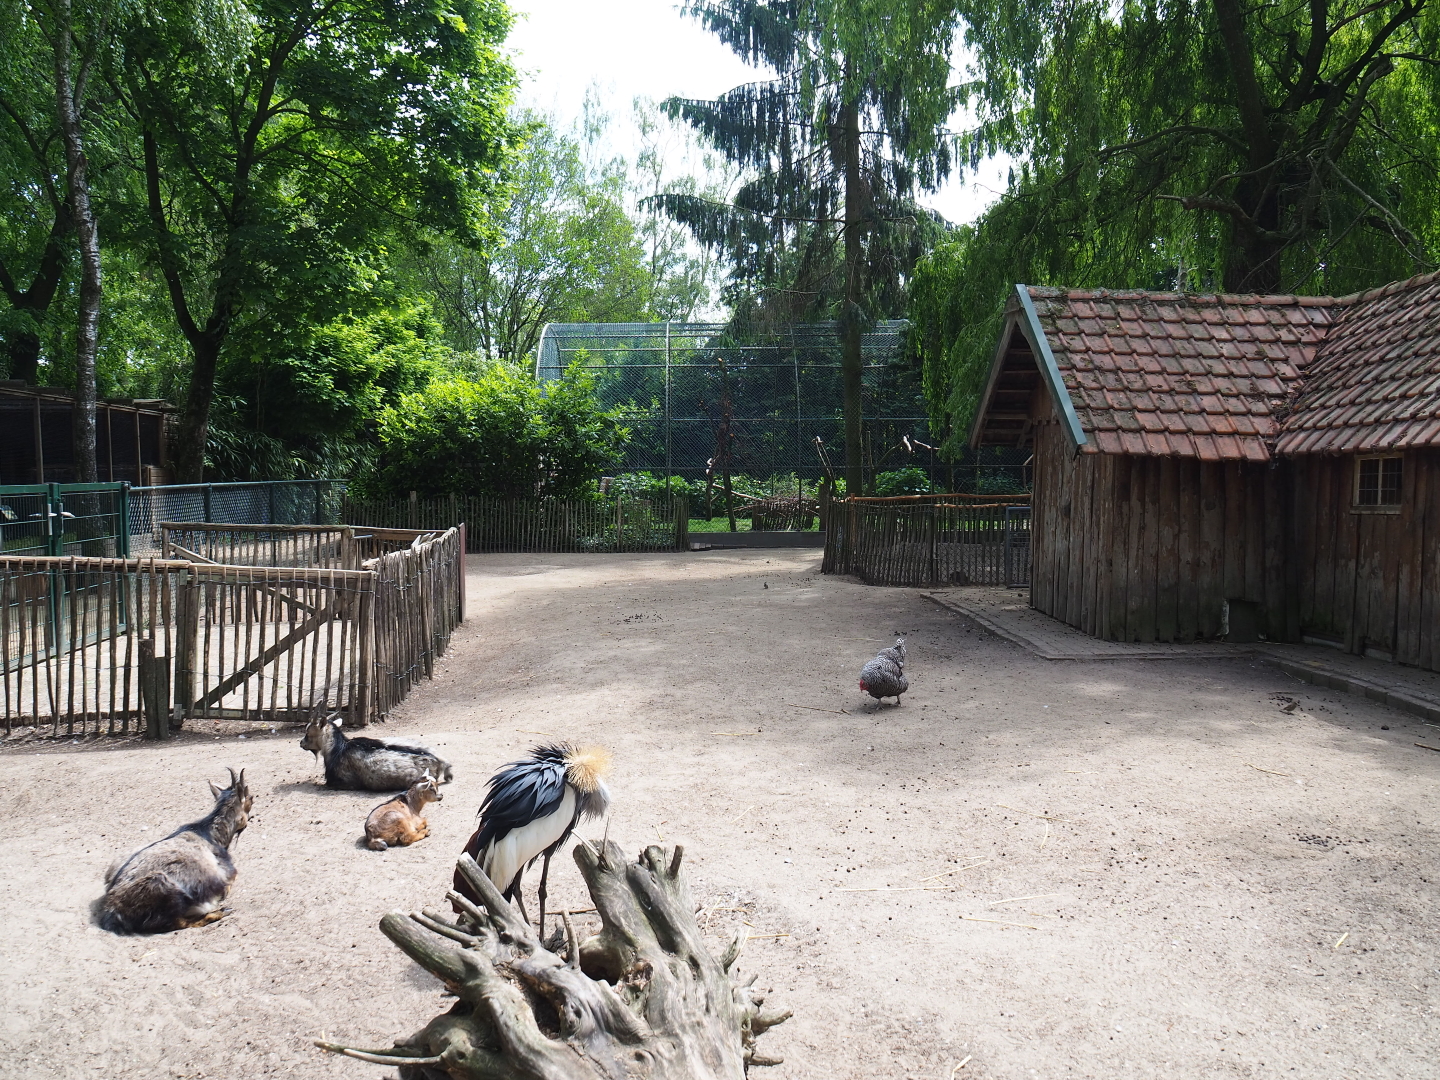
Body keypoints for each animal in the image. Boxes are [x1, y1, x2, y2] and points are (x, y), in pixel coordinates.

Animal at [99, 769, 252, 934]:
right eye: (251, 798)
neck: (209, 833)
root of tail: (112, 908)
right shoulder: (226, 872)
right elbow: (229, 882)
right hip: (165, 889)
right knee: (176, 922)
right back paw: (221, 911)